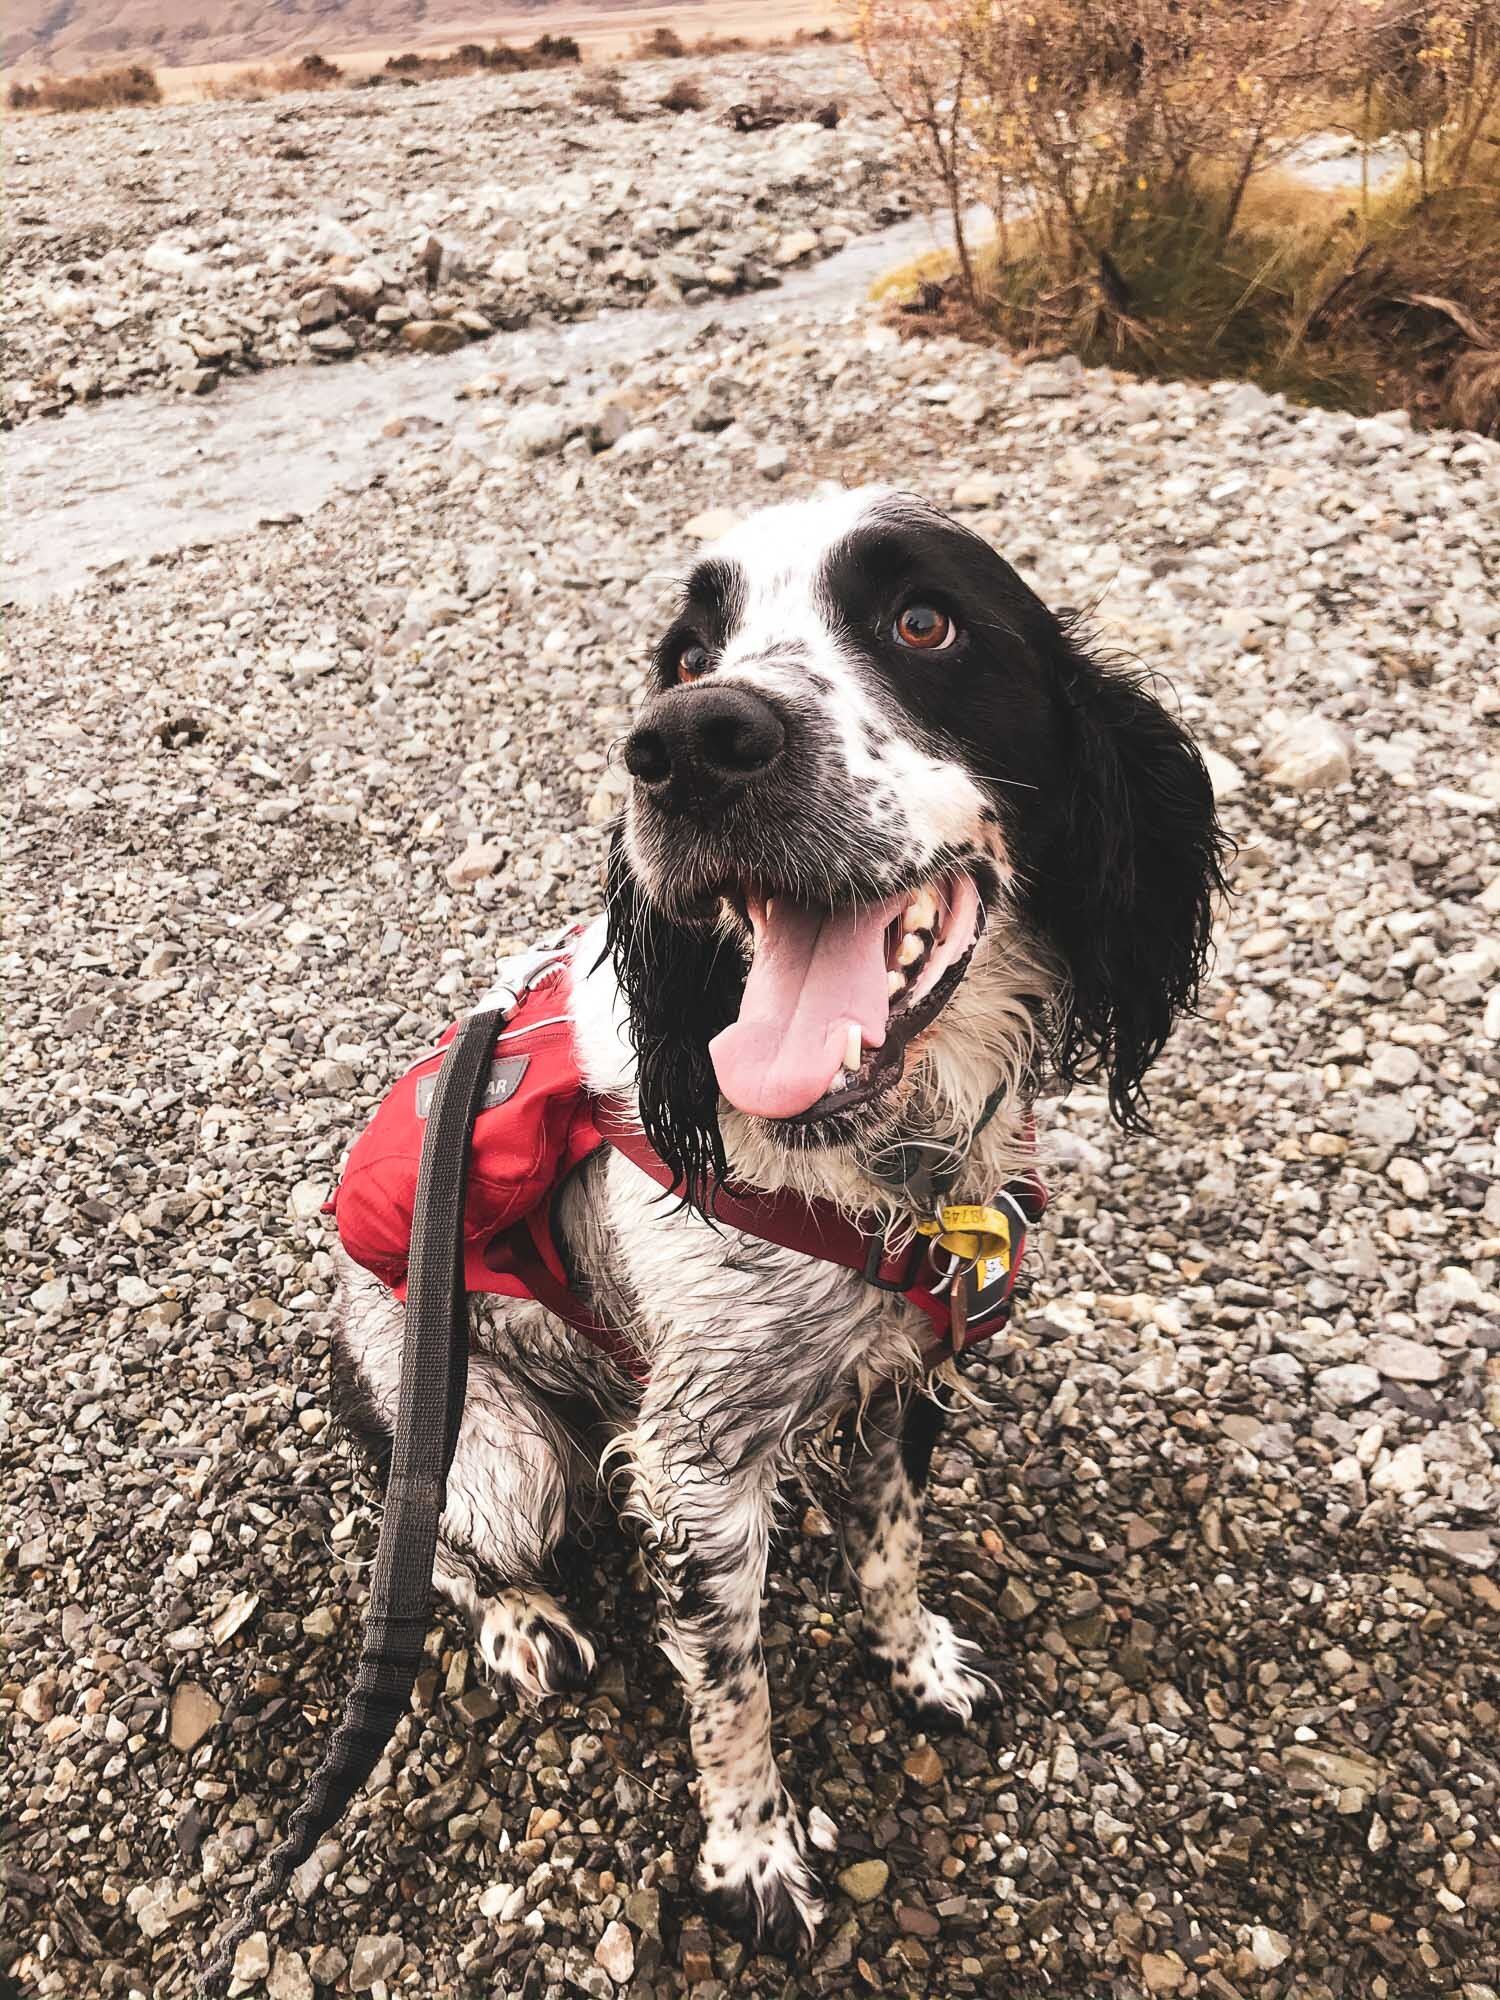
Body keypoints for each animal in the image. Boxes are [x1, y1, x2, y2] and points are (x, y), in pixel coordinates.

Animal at [334, 484, 1224, 1952]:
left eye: (924, 622)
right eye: (686, 657)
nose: (688, 747)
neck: (868, 1164)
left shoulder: (911, 1369)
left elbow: (892, 1549)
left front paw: (916, 1661)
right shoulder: (694, 1466)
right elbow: (732, 1691)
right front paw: (754, 1857)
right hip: (503, 1456)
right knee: (436, 1552)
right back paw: (521, 1623)